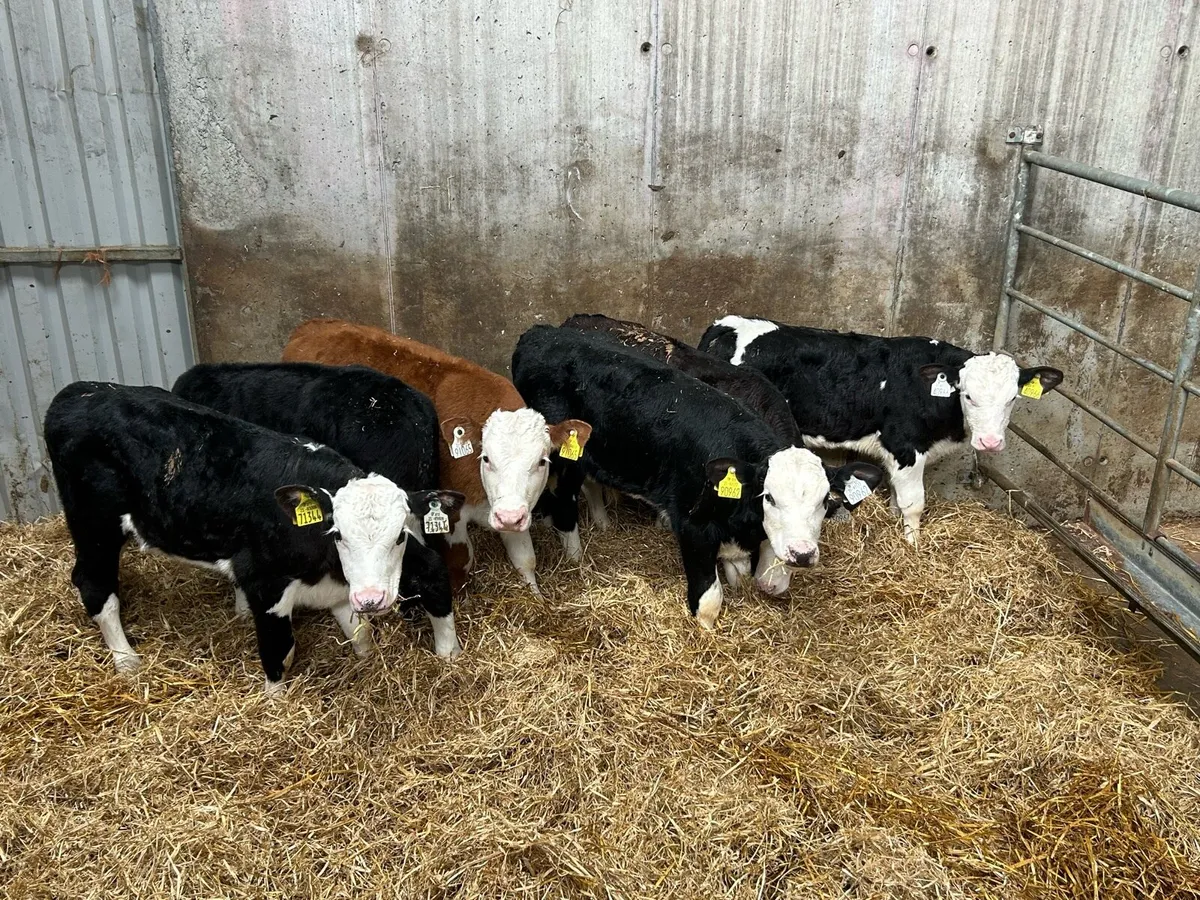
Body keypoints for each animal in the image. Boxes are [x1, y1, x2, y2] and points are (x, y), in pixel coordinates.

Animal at [282, 319, 592, 595]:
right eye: (486, 458)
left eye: (542, 461)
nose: (509, 517)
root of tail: (311, 326)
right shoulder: (449, 513)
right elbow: (460, 562)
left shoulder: (512, 508)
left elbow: (525, 559)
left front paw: (536, 597)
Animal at [512, 325, 883, 627]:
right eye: (770, 498)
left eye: (824, 502)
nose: (802, 554)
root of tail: (541, 331)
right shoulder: (694, 524)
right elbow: (709, 600)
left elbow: (737, 572)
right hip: (563, 458)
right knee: (564, 502)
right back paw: (576, 558)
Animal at [698, 315, 1064, 543]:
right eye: (968, 395)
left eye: (1012, 398)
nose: (989, 442)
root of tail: (731, 323)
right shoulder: (906, 448)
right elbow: (914, 503)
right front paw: (914, 546)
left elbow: (896, 499)